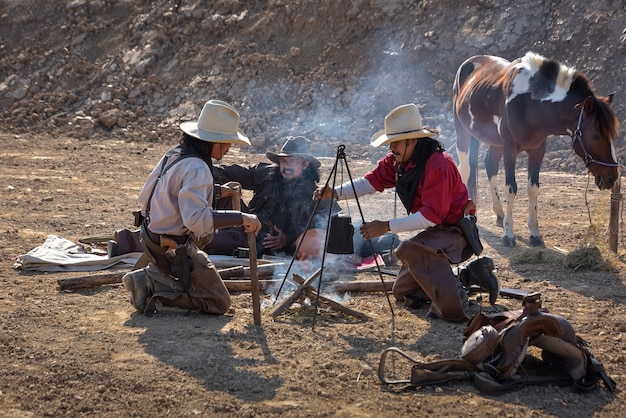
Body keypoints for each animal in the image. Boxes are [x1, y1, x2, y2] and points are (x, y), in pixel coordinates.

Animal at [450, 53, 616, 248]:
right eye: (596, 135)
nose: (611, 177)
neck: (529, 103)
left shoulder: (537, 150)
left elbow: (533, 189)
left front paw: (535, 233)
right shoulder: (510, 149)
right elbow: (511, 189)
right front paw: (508, 234)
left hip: (495, 143)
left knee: (490, 166)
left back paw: (499, 213)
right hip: (463, 132)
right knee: (465, 170)